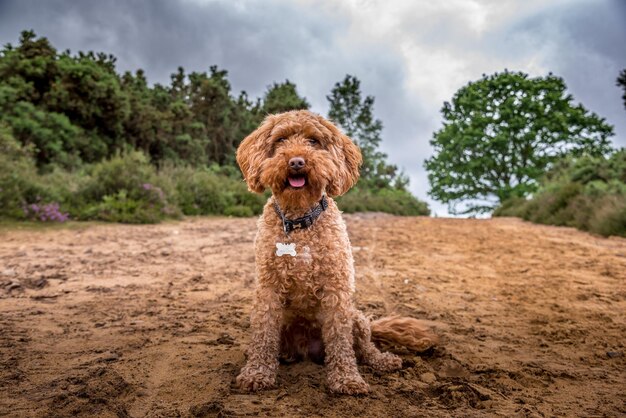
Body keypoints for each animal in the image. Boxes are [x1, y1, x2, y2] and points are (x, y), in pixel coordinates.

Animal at [233, 109, 434, 394]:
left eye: (313, 141)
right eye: (281, 140)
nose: (296, 162)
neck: (300, 222)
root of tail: (305, 350)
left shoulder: (336, 288)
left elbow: (340, 340)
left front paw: (347, 378)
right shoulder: (269, 288)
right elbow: (264, 334)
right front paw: (257, 372)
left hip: (356, 317)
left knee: (365, 347)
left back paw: (383, 361)